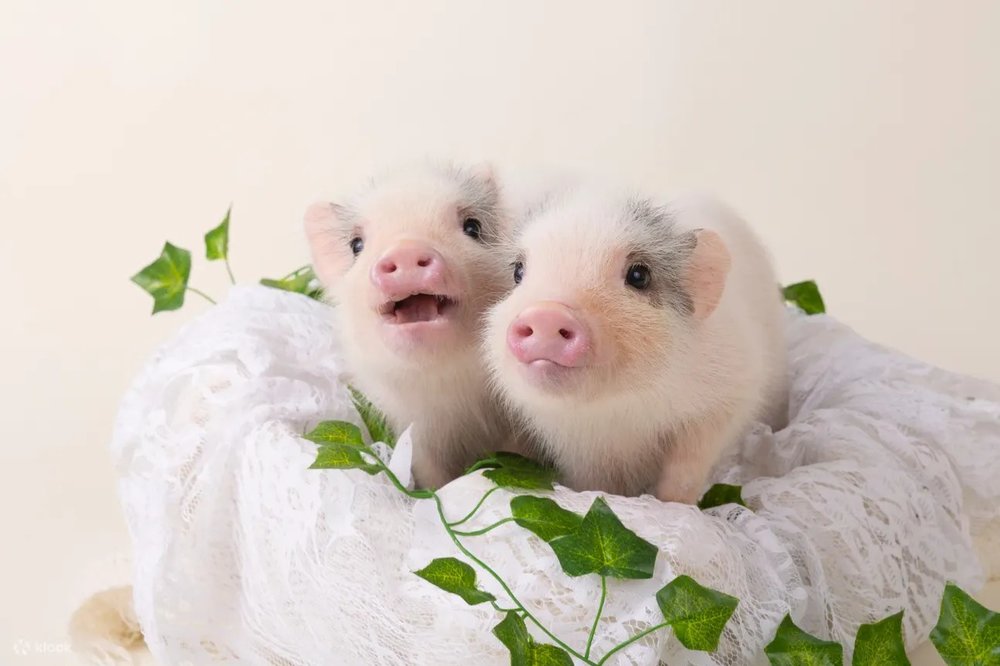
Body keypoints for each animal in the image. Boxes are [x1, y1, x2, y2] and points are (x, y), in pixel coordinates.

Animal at [485, 185, 788, 503]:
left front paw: (674, 504)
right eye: (518, 272)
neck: (617, 414)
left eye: (639, 275)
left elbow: (687, 467)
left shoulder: (730, 392)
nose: (546, 312)